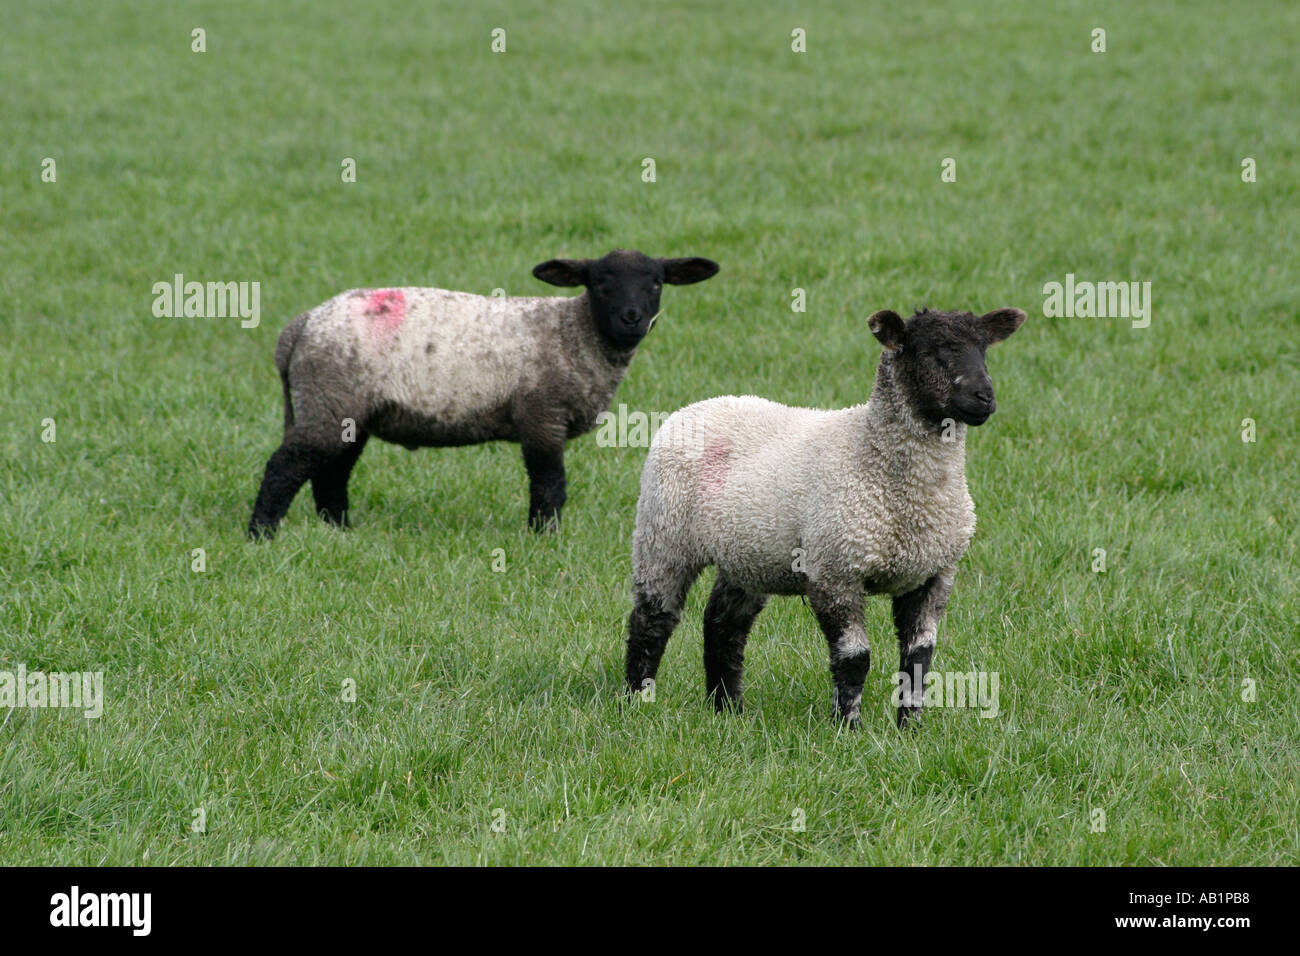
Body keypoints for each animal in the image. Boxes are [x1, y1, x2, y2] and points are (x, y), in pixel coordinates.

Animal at [246, 248, 717, 538]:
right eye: (600, 282)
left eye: (656, 283)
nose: (631, 318)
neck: (575, 334)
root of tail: (301, 326)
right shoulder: (541, 414)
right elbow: (550, 483)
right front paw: (545, 536)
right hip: (329, 397)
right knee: (287, 465)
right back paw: (261, 533)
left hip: (348, 410)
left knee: (331, 473)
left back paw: (339, 529)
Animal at [621, 306, 1024, 723]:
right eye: (930, 352)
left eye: (984, 350)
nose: (985, 397)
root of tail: (698, 406)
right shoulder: (834, 570)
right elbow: (854, 659)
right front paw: (849, 726)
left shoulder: (934, 573)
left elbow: (918, 660)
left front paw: (910, 729)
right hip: (663, 534)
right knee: (651, 620)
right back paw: (636, 700)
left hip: (748, 553)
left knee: (723, 625)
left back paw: (728, 709)